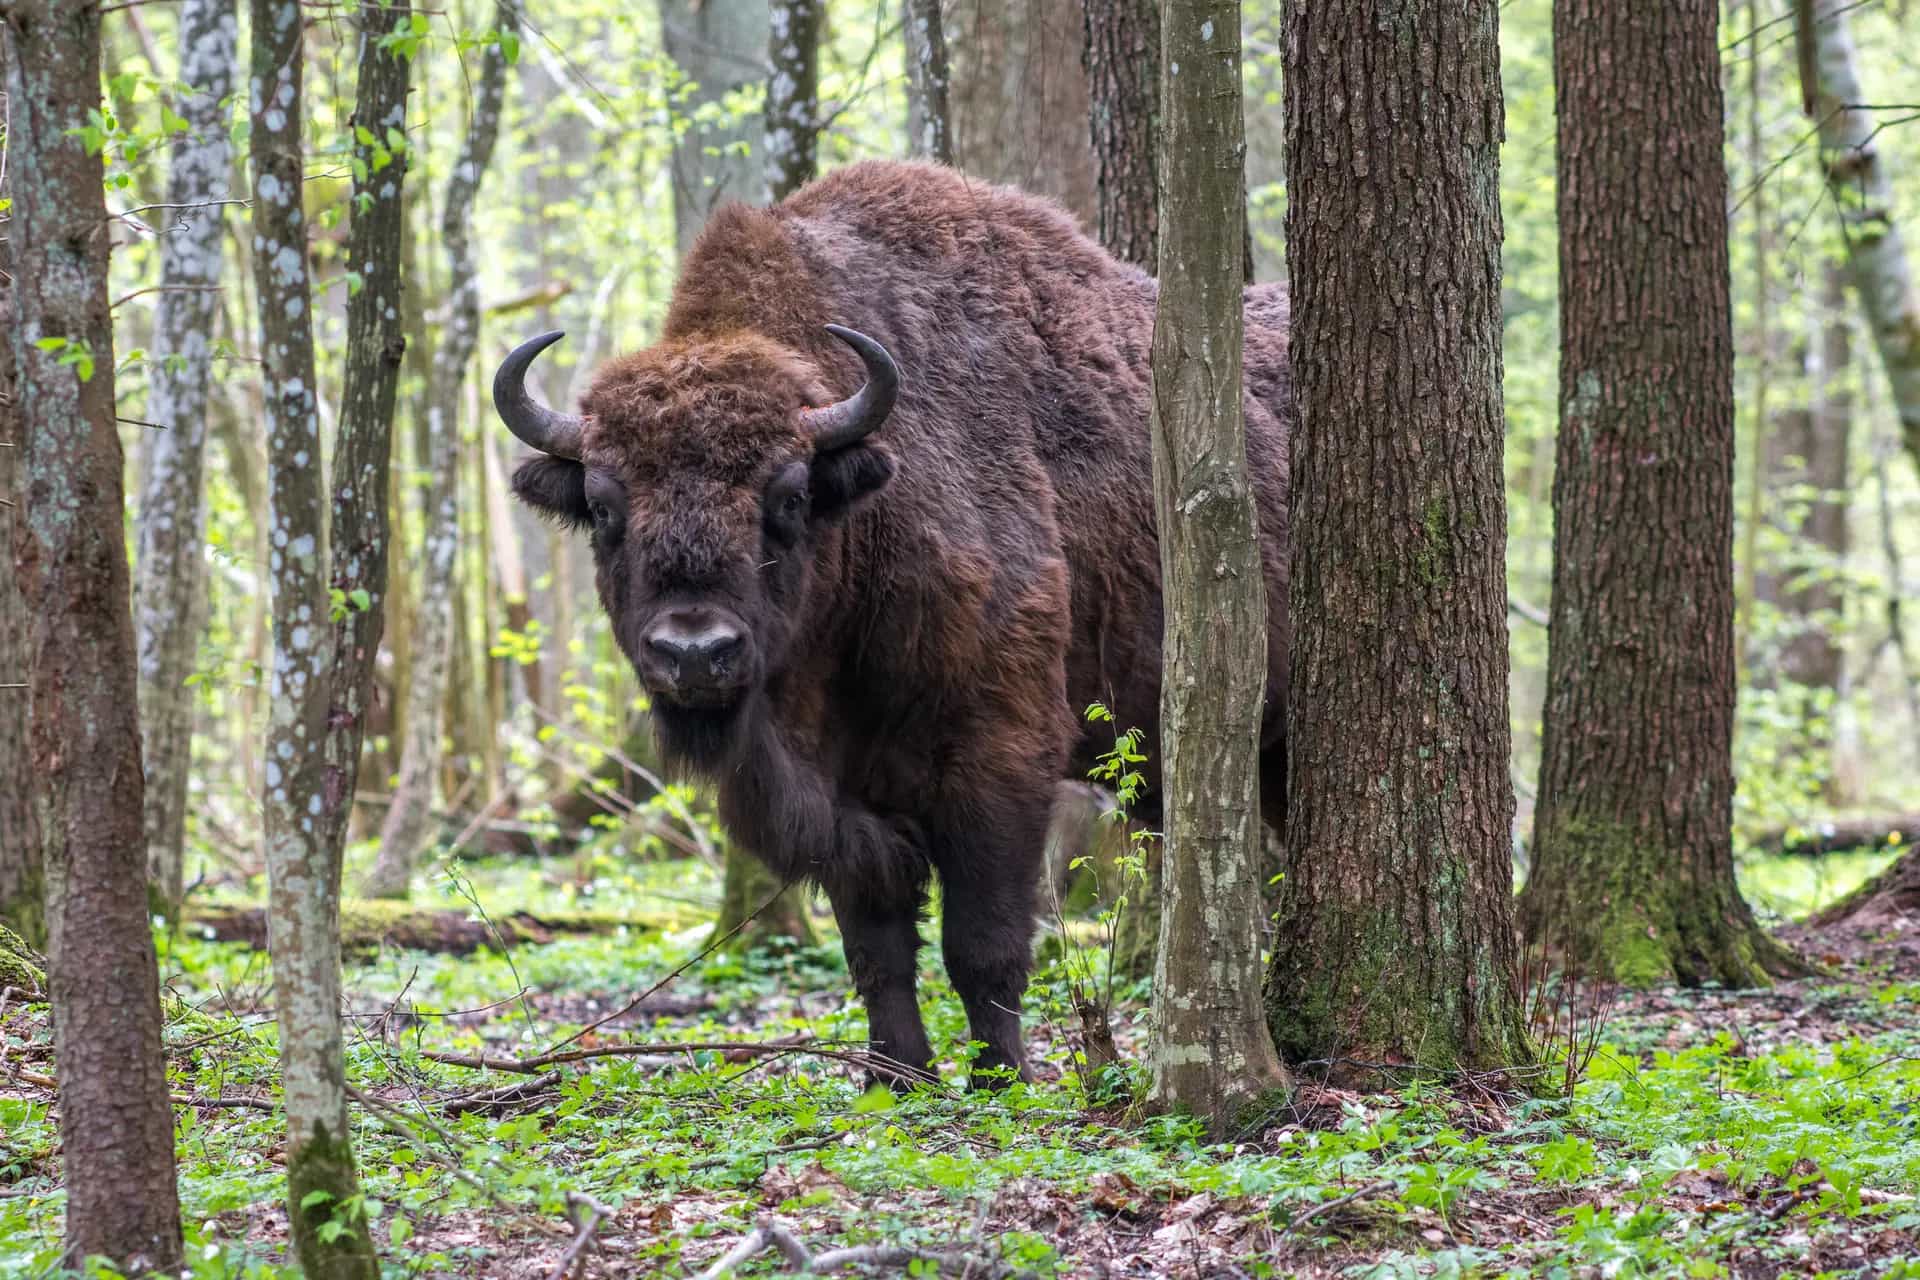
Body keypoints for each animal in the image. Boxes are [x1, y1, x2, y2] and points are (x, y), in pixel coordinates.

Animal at [496, 160, 1291, 1086]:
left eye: (788, 496)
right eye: (602, 507)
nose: (695, 654)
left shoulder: (999, 758)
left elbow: (982, 942)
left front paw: (1001, 1077)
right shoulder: (843, 797)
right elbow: (876, 947)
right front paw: (897, 1075)